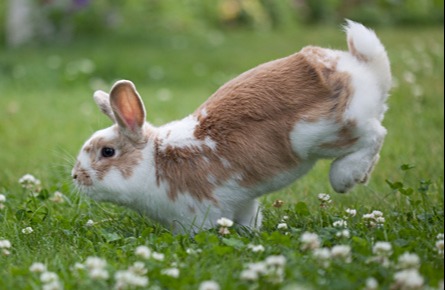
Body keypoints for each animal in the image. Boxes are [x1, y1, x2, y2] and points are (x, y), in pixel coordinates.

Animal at [73, 20, 392, 233]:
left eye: (107, 152)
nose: (76, 176)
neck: (155, 160)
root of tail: (362, 69)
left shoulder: (199, 212)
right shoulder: (242, 202)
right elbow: (249, 219)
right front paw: (251, 235)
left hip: (323, 133)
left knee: (375, 135)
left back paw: (345, 177)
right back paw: (361, 176)